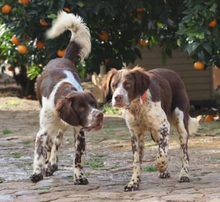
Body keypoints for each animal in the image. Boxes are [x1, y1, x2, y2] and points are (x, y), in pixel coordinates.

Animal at [29, 11, 104, 185]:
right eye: (81, 107)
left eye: (93, 104)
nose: (99, 115)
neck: (65, 90)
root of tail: (63, 58)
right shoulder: (43, 132)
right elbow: (40, 153)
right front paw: (37, 173)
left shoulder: (79, 131)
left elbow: (77, 158)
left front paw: (79, 177)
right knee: (51, 143)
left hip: (62, 127)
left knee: (57, 140)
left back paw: (52, 164)